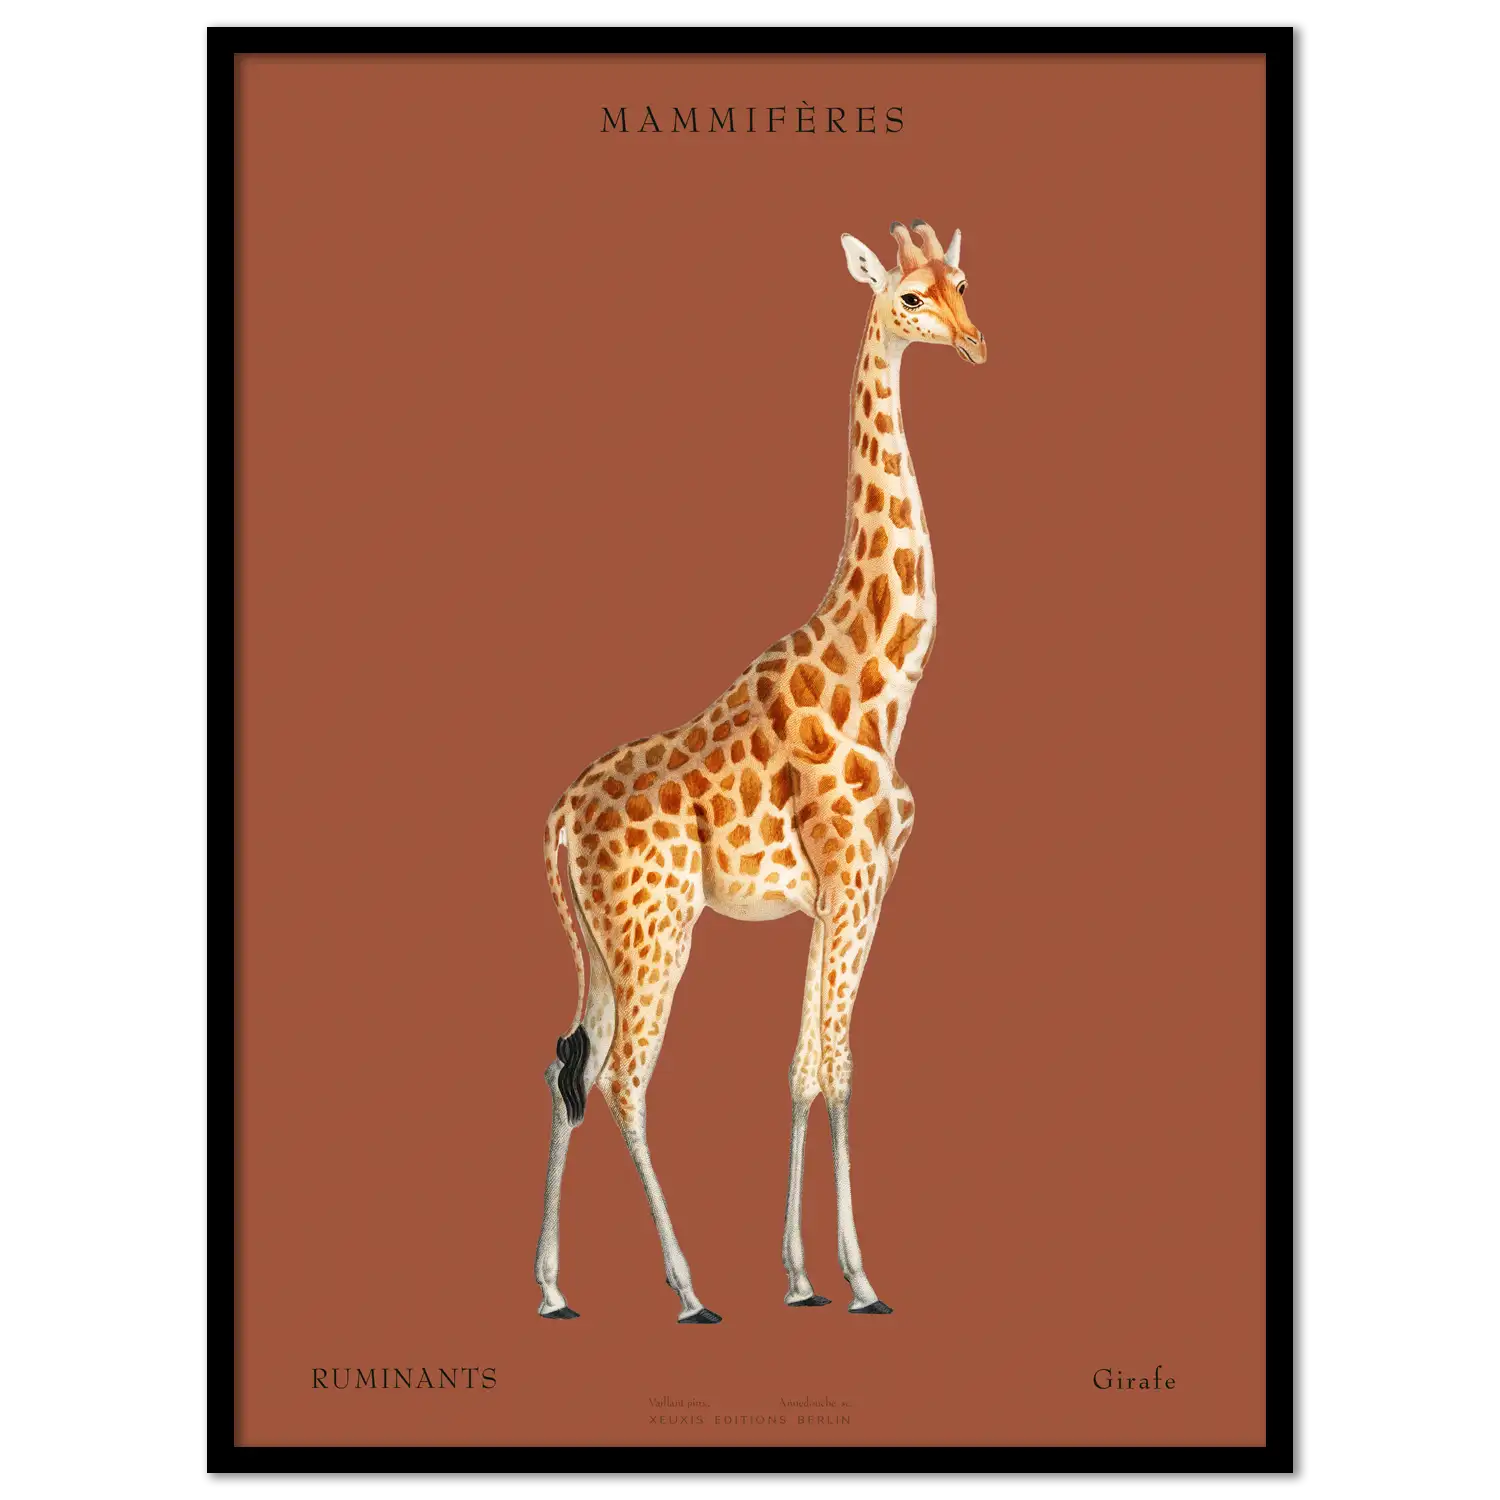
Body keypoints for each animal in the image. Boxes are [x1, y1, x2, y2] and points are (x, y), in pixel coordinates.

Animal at [533, 220, 986, 1323]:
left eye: (964, 282)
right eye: (909, 298)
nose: (974, 343)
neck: (881, 683)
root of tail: (561, 812)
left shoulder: (842, 895)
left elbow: (803, 1068)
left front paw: (803, 1274)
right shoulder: (857, 881)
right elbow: (840, 1065)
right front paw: (859, 1280)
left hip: (606, 940)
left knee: (569, 1063)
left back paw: (556, 1289)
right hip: (654, 927)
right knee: (622, 1078)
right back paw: (689, 1290)